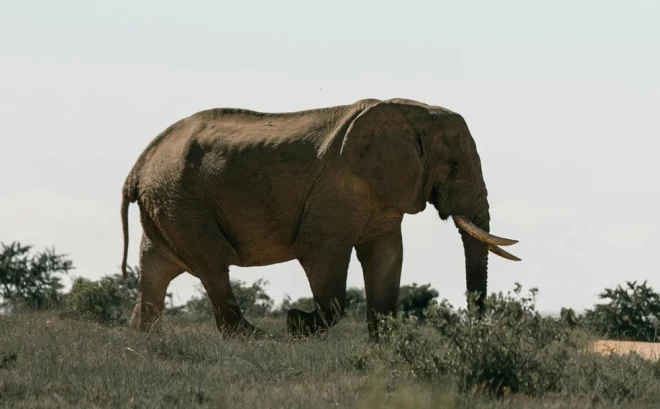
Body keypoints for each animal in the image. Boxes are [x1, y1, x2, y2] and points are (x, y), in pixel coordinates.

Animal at [120, 97, 520, 336]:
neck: (409, 112)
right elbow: (322, 255)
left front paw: (384, 346)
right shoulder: (336, 192)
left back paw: (142, 337)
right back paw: (252, 336)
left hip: (167, 203)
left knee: (156, 267)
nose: (477, 332)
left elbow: (387, 256)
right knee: (213, 265)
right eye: (453, 166)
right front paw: (296, 323)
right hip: (182, 201)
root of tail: (139, 165)